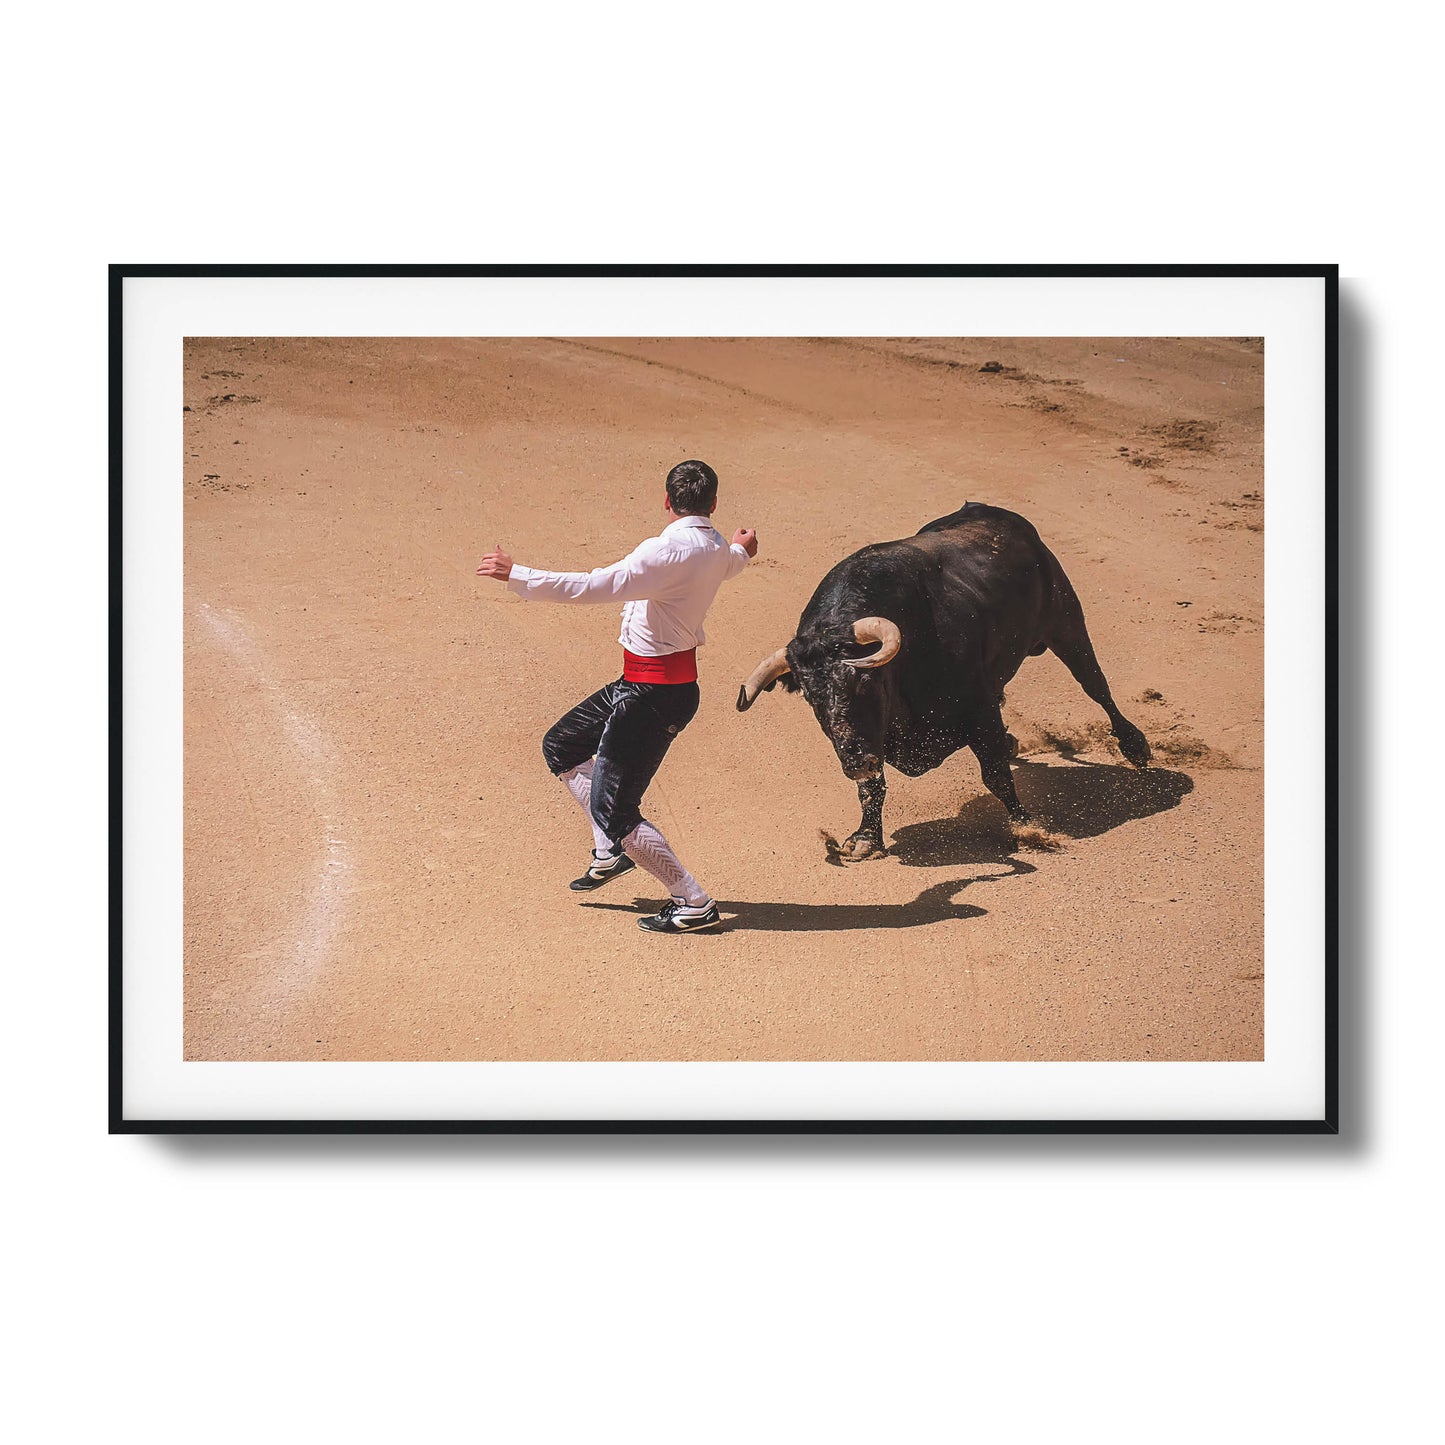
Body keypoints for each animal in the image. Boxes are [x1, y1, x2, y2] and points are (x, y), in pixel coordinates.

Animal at [734, 502, 1150, 855]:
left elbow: (996, 774)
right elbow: (872, 788)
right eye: (810, 697)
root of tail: (1004, 516)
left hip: (1065, 622)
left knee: (1095, 685)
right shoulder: (873, 741)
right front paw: (866, 839)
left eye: (864, 681)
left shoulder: (978, 709)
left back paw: (1135, 747)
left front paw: (1027, 825)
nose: (855, 763)